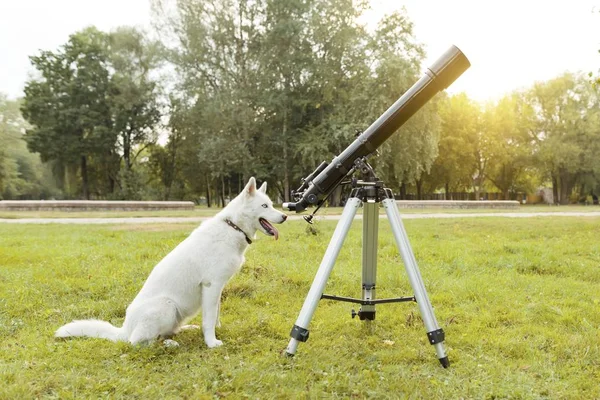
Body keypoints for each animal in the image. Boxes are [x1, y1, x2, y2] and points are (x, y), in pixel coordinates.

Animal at [56, 177, 288, 348]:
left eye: (272, 205)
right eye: (265, 205)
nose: (285, 216)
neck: (233, 227)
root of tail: (124, 329)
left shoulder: (217, 289)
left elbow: (214, 315)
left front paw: (216, 330)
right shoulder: (211, 286)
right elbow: (209, 319)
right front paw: (211, 342)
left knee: (164, 333)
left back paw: (183, 332)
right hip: (166, 306)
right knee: (138, 342)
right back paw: (168, 344)